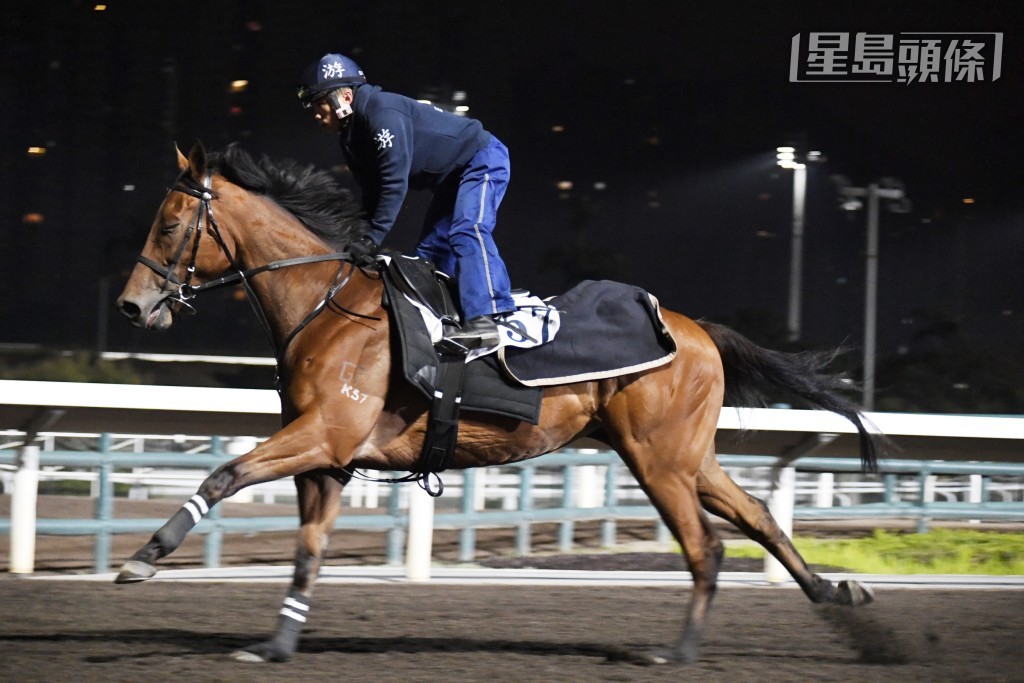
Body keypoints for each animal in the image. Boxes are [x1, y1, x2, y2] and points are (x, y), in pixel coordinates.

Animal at [112, 143, 880, 667]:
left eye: (171, 223)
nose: (132, 305)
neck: (326, 305)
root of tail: (697, 329)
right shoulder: (329, 459)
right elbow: (307, 550)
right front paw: (275, 643)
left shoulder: (323, 433)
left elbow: (225, 474)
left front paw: (144, 558)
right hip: (689, 456)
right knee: (755, 517)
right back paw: (837, 596)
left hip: (659, 459)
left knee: (708, 545)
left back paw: (680, 651)